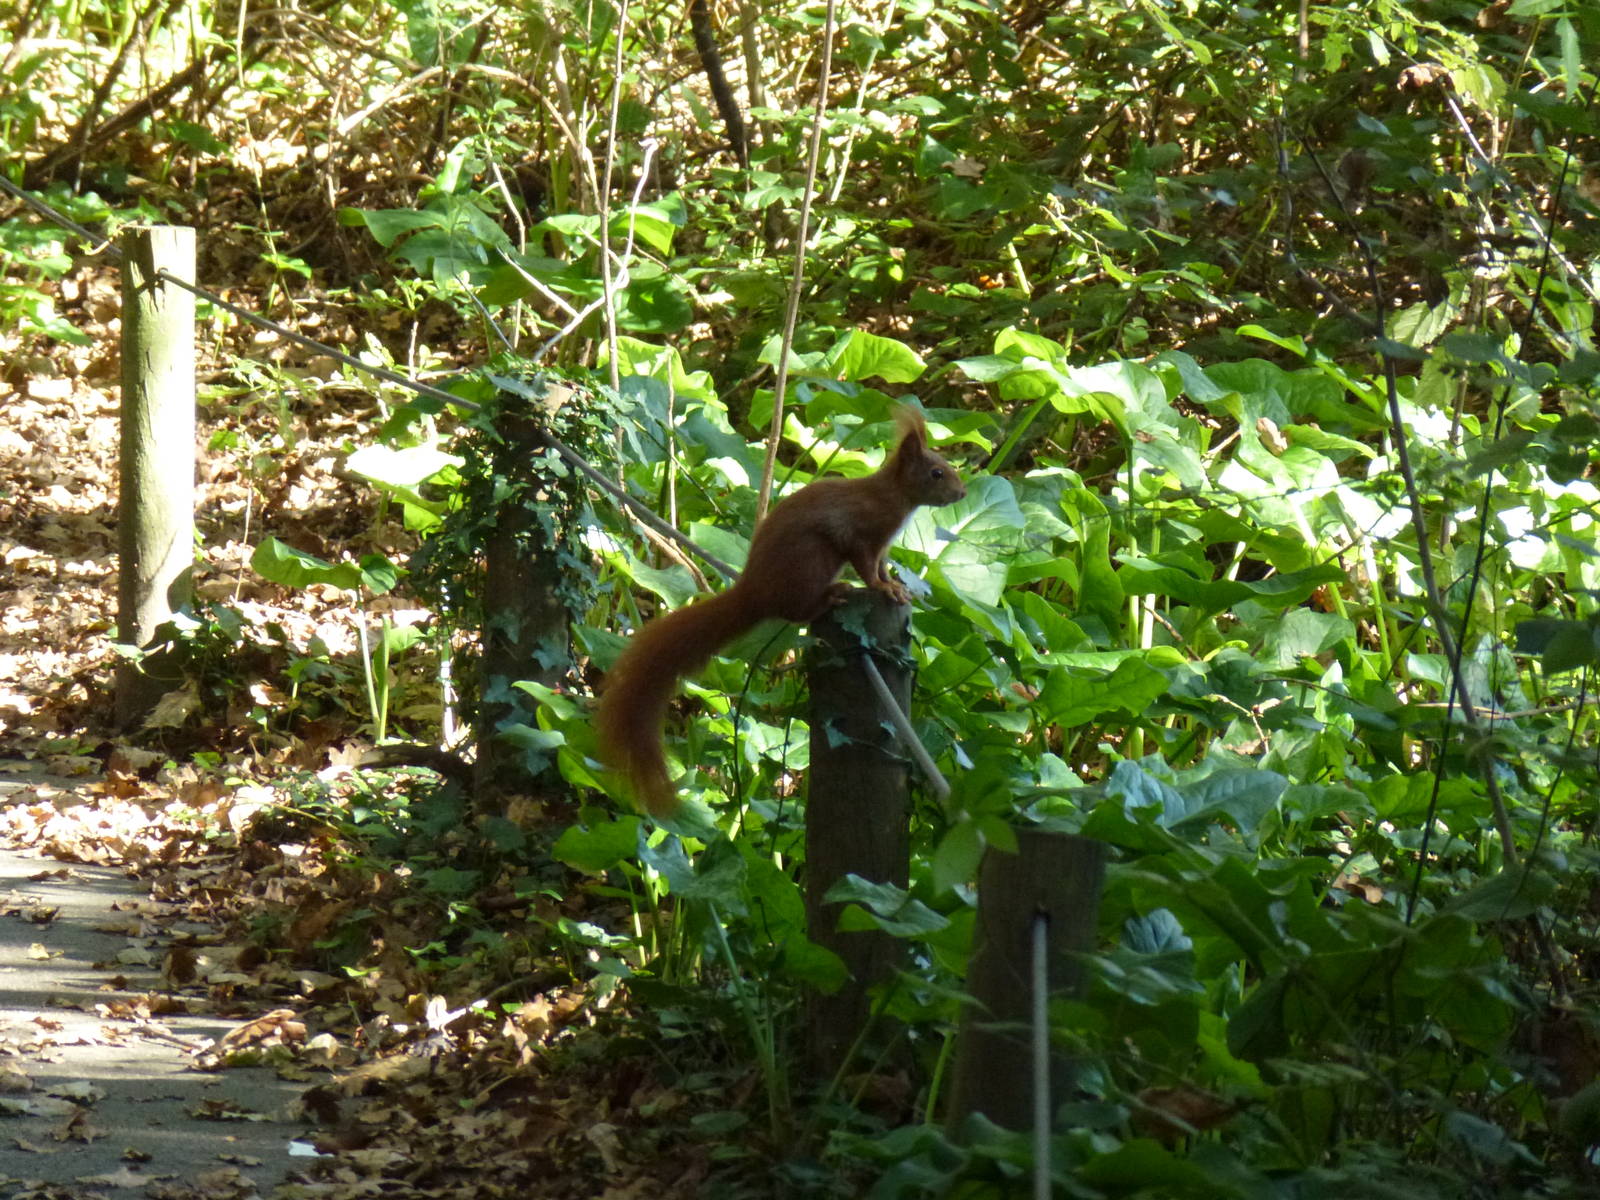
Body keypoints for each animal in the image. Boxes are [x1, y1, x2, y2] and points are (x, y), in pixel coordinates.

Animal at [594, 407, 967, 817]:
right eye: (937, 473)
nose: (963, 493)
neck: (892, 495)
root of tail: (753, 594)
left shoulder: (882, 546)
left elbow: (882, 568)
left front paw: (895, 587)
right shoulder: (861, 535)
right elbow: (868, 568)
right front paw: (882, 588)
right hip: (812, 560)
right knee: (798, 611)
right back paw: (832, 595)